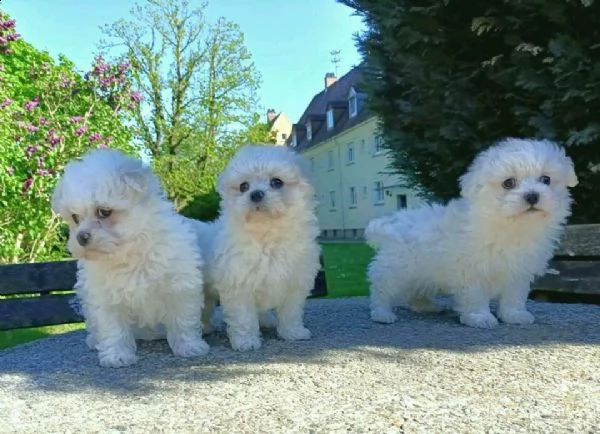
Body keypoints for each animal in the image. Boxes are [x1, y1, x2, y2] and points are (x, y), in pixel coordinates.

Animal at [52, 148, 211, 366]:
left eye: (104, 211)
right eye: (75, 217)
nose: (81, 237)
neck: (130, 252)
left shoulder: (179, 285)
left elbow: (182, 318)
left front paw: (190, 347)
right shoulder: (105, 296)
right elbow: (113, 327)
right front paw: (116, 356)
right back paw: (94, 340)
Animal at [196, 144, 318, 350]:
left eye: (277, 182)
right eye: (243, 186)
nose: (256, 194)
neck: (267, 235)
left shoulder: (295, 280)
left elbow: (291, 311)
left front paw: (293, 332)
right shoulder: (238, 283)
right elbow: (243, 315)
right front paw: (246, 341)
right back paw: (204, 328)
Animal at [366, 137, 576, 328]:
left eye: (546, 179)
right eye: (508, 183)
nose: (532, 195)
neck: (510, 226)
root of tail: (391, 223)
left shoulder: (518, 271)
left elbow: (514, 295)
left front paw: (515, 314)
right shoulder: (471, 270)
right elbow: (476, 295)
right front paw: (480, 317)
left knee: (416, 291)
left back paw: (427, 306)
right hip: (396, 269)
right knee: (382, 289)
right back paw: (382, 314)